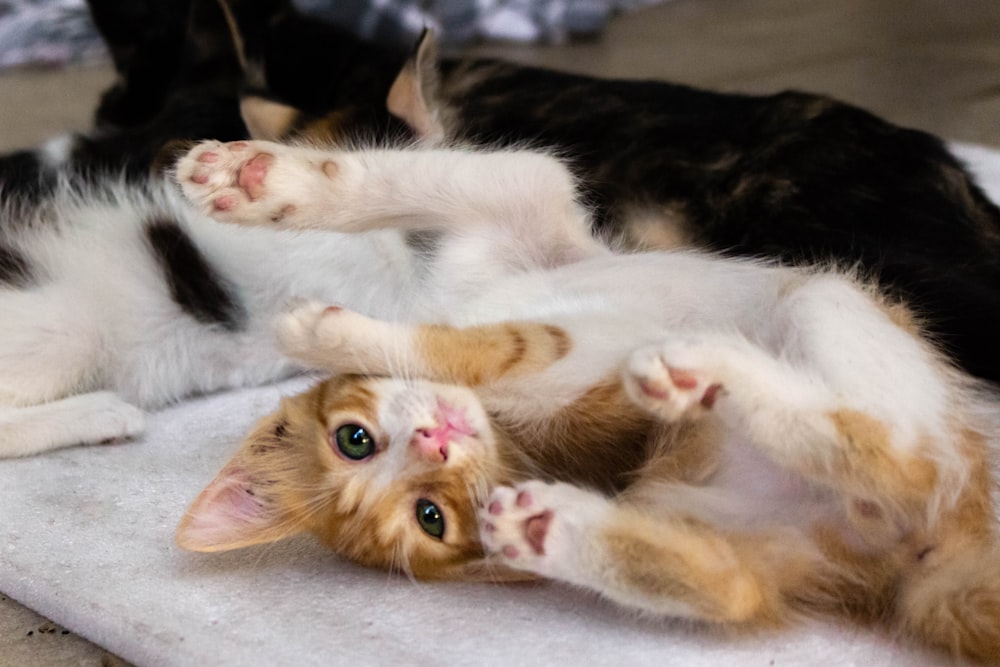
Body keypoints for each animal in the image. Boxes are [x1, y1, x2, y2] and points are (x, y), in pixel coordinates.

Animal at [176, 141, 996, 664]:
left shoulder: (527, 219)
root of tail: (924, 551)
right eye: (432, 518)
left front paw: (258, 178)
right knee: (756, 568)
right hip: (740, 508)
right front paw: (328, 327)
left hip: (832, 303)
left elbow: (463, 184)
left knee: (911, 458)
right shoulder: (575, 377)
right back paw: (559, 514)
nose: (439, 442)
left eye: (354, 439)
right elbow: (493, 347)